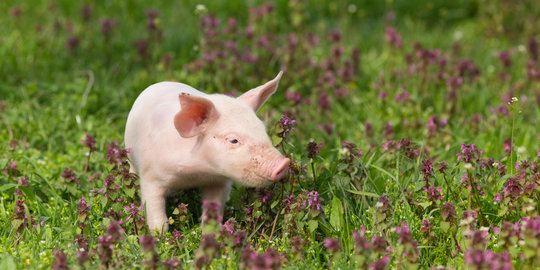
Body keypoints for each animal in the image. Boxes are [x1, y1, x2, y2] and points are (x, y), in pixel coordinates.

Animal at [124, 71, 288, 232]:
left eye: (263, 129)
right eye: (233, 140)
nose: (284, 163)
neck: (196, 173)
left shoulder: (219, 183)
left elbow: (213, 211)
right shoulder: (150, 176)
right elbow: (156, 216)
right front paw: (159, 236)